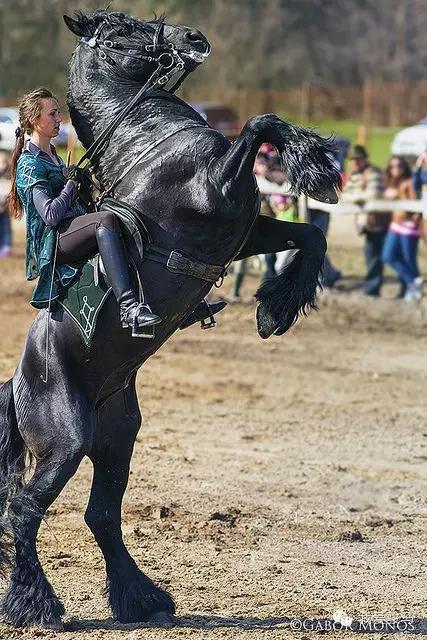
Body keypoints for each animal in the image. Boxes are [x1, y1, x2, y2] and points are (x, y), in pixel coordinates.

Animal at [0, 10, 342, 632]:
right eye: (119, 31)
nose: (191, 38)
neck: (150, 138)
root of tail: (19, 382)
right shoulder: (215, 192)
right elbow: (259, 124)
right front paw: (314, 160)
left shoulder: (241, 229)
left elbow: (309, 233)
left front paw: (276, 306)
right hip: (65, 441)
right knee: (25, 508)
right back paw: (35, 605)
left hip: (117, 437)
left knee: (101, 516)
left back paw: (141, 599)